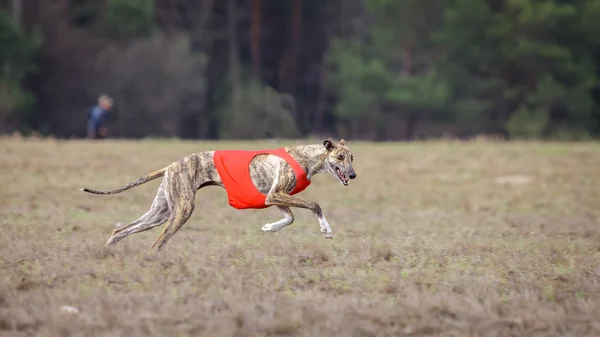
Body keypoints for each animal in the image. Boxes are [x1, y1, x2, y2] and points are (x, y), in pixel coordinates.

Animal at [82, 137, 358, 249]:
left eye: (352, 157)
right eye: (340, 157)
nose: (353, 175)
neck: (306, 157)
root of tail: (171, 166)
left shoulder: (275, 196)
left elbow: (289, 218)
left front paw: (269, 227)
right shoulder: (276, 194)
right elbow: (314, 205)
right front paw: (326, 229)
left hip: (160, 212)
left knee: (120, 231)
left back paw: (107, 251)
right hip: (182, 210)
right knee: (157, 241)